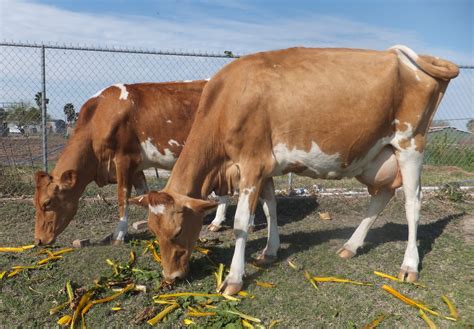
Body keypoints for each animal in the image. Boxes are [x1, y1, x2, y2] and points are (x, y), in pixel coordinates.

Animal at [32, 79, 236, 243]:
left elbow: (123, 197)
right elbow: (143, 194)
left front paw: (119, 235)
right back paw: (218, 222)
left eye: (47, 203)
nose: (39, 240)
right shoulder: (137, 168)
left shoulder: (124, 158)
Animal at [128, 44, 458, 294]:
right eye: (154, 231)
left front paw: (234, 279)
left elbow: (242, 223)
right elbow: (270, 208)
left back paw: (409, 265)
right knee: (382, 196)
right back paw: (351, 245)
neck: (227, 99)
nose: (170, 277)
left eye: (178, 231)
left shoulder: (251, 163)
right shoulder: (264, 167)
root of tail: (405, 58)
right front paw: (269, 251)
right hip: (376, 157)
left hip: (410, 143)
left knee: (412, 202)